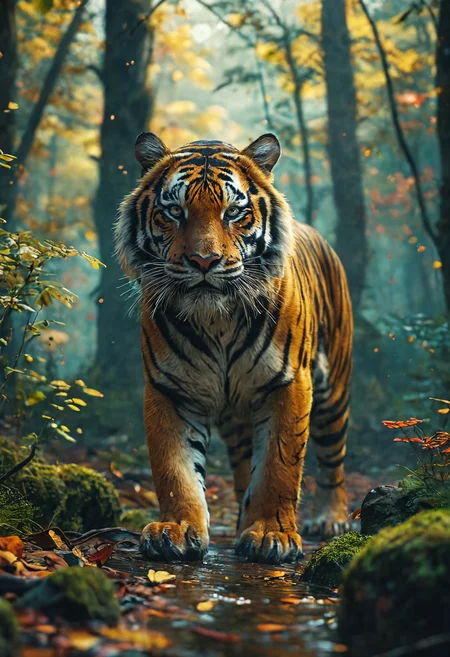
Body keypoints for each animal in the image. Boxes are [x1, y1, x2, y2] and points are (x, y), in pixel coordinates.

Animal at [115, 132, 353, 564]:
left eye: (234, 212)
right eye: (173, 211)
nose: (203, 261)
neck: (217, 320)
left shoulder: (289, 384)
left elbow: (278, 467)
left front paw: (272, 535)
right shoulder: (170, 389)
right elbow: (174, 468)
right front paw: (176, 529)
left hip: (334, 390)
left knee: (332, 460)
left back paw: (330, 519)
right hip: (236, 416)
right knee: (244, 467)